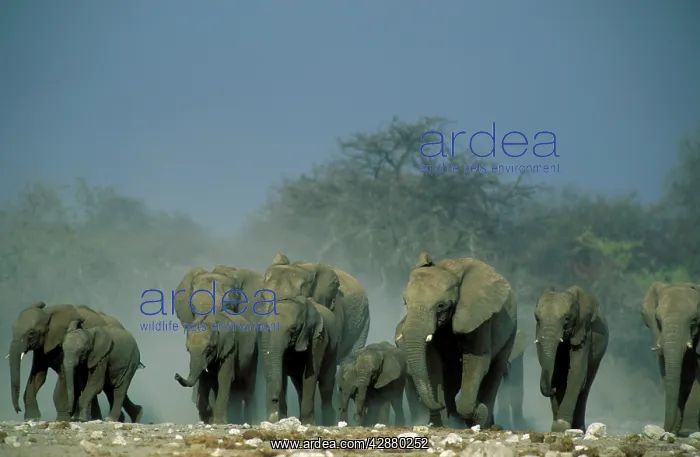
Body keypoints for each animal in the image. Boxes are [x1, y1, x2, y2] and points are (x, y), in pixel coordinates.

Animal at [259, 294, 339, 425]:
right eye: (268, 328)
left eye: (293, 329)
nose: (274, 399)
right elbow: (281, 376)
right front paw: (280, 420)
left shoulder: (317, 339)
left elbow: (310, 375)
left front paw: (309, 424)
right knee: (299, 385)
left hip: (333, 350)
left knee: (326, 385)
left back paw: (328, 422)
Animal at [400, 252, 518, 429]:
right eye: (405, 302)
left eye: (441, 305)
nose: (438, 404)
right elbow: (433, 363)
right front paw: (444, 422)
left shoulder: (478, 318)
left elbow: (477, 362)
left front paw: (478, 412)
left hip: (511, 330)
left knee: (496, 369)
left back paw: (483, 421)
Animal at [535, 285, 608, 432]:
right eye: (537, 319)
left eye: (566, 318)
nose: (552, 390)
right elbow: (557, 374)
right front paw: (558, 427)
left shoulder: (584, 332)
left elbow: (577, 371)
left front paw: (561, 426)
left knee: (585, 386)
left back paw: (579, 429)